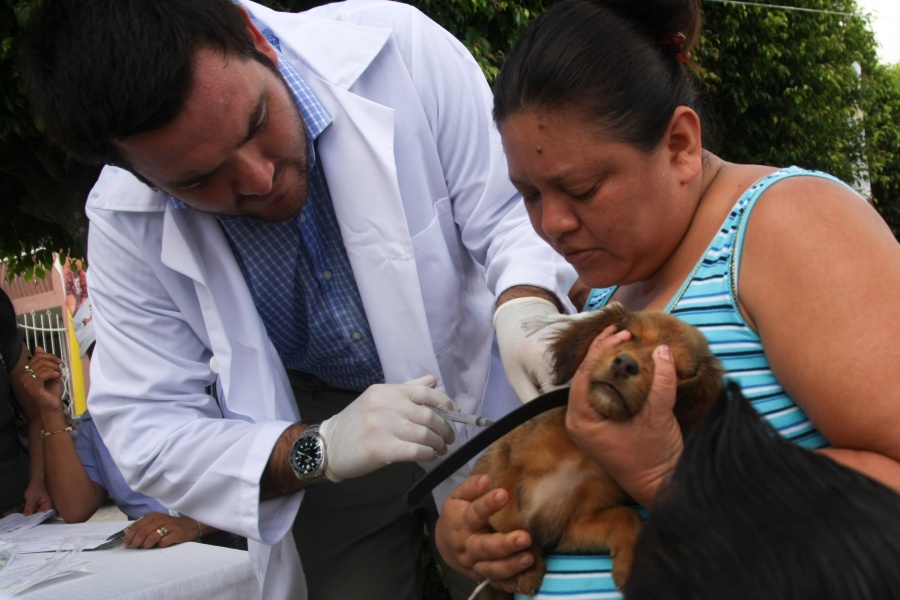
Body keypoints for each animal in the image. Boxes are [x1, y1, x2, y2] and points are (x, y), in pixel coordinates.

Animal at [474, 302, 720, 596]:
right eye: (629, 336)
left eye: (674, 372)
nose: (625, 364)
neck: (582, 454)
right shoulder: (505, 456)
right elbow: (508, 518)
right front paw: (526, 566)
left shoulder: (571, 527)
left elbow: (627, 517)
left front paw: (630, 566)